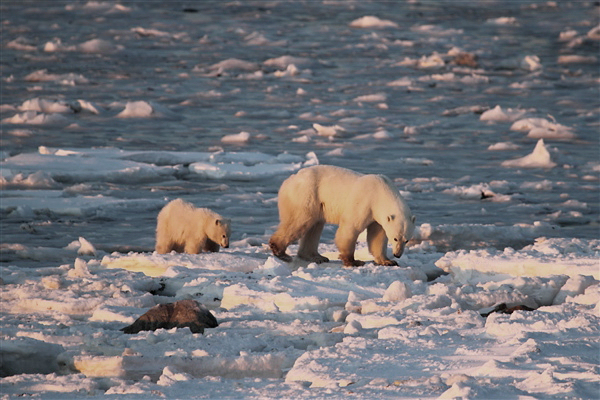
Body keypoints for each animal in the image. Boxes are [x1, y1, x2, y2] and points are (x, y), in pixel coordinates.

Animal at [270, 164, 414, 268]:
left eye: (406, 240)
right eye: (395, 238)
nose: (397, 254)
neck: (381, 191)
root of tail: (289, 180)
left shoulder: (376, 215)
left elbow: (377, 236)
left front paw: (387, 261)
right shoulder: (365, 202)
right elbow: (351, 228)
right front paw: (354, 261)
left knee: (315, 226)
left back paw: (317, 257)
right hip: (306, 195)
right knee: (299, 221)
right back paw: (280, 251)